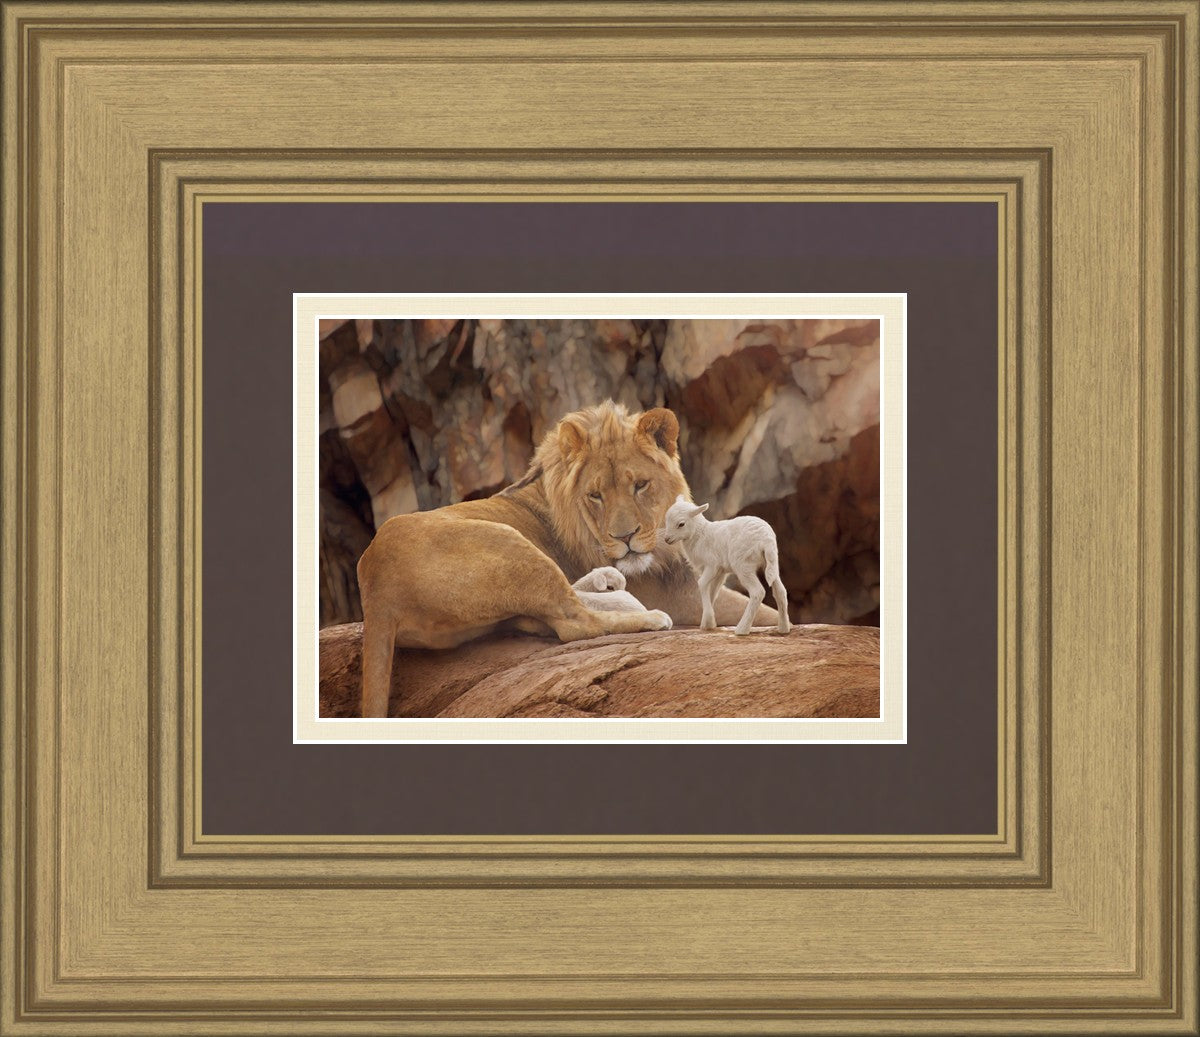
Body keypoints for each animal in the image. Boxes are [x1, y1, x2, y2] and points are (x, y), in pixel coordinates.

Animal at [662, 496, 791, 636]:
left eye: (681, 524)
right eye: (666, 519)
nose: (667, 539)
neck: (700, 535)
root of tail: (766, 539)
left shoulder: (712, 565)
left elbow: (702, 584)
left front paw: (708, 621)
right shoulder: (720, 572)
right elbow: (713, 592)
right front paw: (707, 623)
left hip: (743, 565)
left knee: (758, 592)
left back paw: (742, 629)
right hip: (771, 562)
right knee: (780, 591)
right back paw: (783, 628)